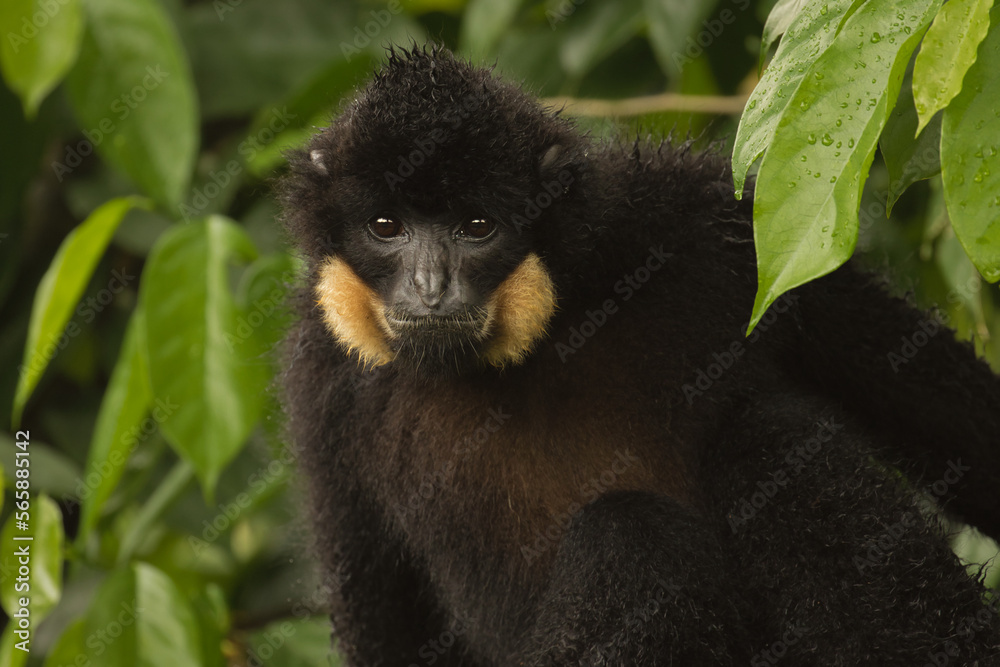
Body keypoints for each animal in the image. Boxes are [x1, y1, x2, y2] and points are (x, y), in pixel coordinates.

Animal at [278, 45, 1000, 666]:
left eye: (476, 227)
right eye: (386, 228)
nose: (430, 287)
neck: (539, 345)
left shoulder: (704, 227)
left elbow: (926, 397)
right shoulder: (325, 382)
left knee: (765, 439)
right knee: (631, 532)